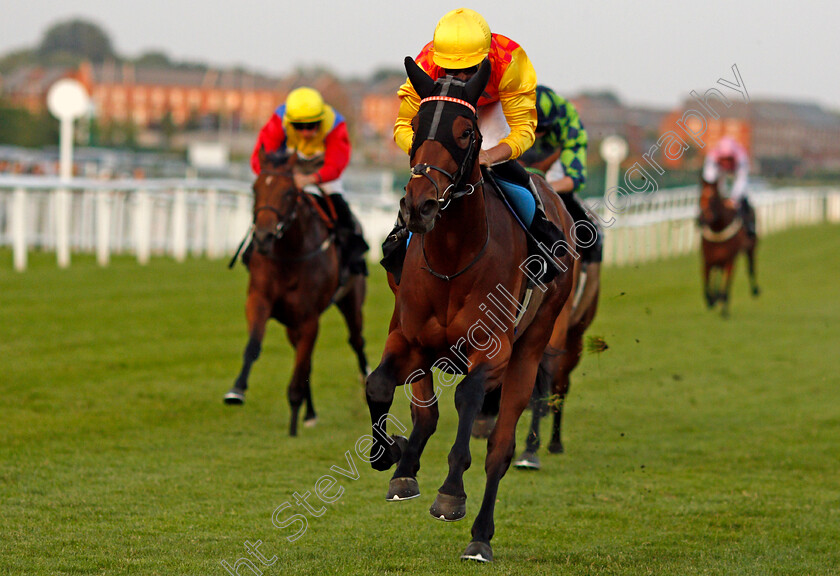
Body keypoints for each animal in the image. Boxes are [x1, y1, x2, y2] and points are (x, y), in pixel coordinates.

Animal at [223, 150, 368, 436]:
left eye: (289, 192)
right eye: (255, 188)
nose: (263, 237)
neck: (289, 255)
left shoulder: (310, 319)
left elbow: (300, 370)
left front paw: (292, 426)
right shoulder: (259, 300)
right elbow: (254, 346)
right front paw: (237, 390)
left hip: (351, 301)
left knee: (356, 341)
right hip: (292, 324)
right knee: (306, 361)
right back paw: (309, 413)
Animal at [364, 58, 580, 564]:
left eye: (465, 133)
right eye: (416, 126)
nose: (419, 205)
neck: (452, 258)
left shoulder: (494, 350)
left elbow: (468, 402)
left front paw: (450, 493)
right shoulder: (408, 338)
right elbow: (379, 383)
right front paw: (390, 454)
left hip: (532, 346)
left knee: (500, 448)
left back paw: (481, 536)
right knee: (425, 414)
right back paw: (405, 468)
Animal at [700, 178, 756, 318]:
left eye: (714, 199)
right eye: (699, 197)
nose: (701, 220)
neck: (718, 228)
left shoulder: (729, 260)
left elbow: (725, 288)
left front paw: (723, 308)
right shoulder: (707, 260)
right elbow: (706, 283)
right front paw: (711, 300)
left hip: (752, 248)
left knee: (751, 267)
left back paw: (755, 290)